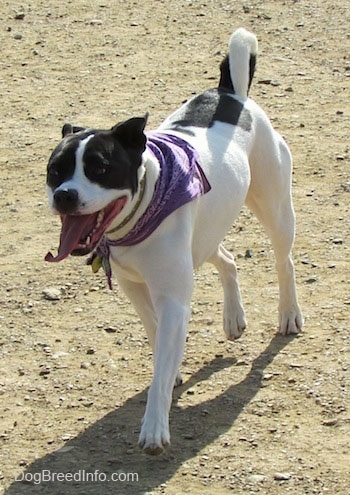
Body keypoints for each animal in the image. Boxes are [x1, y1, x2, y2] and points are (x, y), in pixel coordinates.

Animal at [45, 30, 304, 458]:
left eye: (100, 167)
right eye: (55, 170)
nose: (64, 195)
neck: (143, 207)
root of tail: (230, 94)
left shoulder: (173, 298)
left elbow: (164, 356)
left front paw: (154, 426)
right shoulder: (137, 287)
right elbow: (157, 337)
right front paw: (174, 370)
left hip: (276, 209)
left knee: (285, 263)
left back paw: (289, 315)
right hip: (205, 234)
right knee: (228, 259)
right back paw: (233, 318)